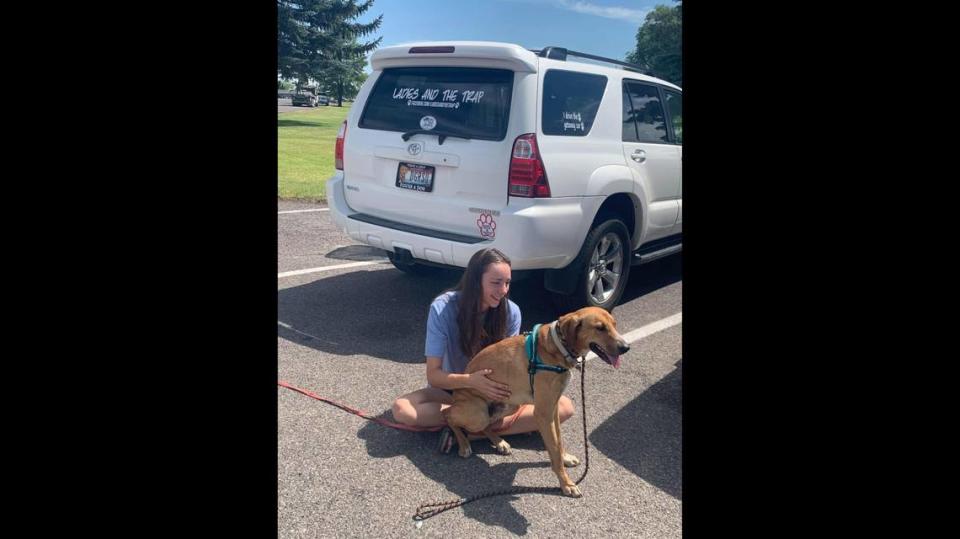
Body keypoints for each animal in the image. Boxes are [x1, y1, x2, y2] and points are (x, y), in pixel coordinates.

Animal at [440, 308, 632, 498]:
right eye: (600, 328)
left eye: (614, 325)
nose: (626, 348)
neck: (556, 347)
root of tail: (456, 395)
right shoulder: (542, 413)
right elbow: (554, 450)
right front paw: (566, 483)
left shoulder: (552, 408)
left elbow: (559, 442)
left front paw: (565, 459)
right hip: (478, 413)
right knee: (448, 415)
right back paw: (463, 444)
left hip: (509, 405)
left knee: (487, 424)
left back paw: (499, 442)